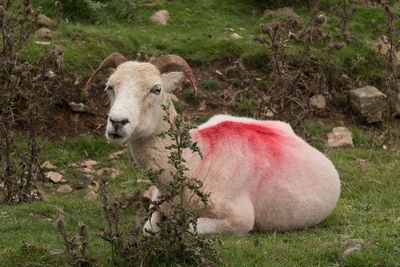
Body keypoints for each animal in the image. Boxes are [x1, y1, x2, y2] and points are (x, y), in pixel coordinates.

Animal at [85, 53, 340, 236]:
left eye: (156, 89)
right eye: (109, 87)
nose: (117, 122)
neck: (195, 163)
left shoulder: (240, 219)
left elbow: (186, 228)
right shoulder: (158, 200)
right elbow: (149, 229)